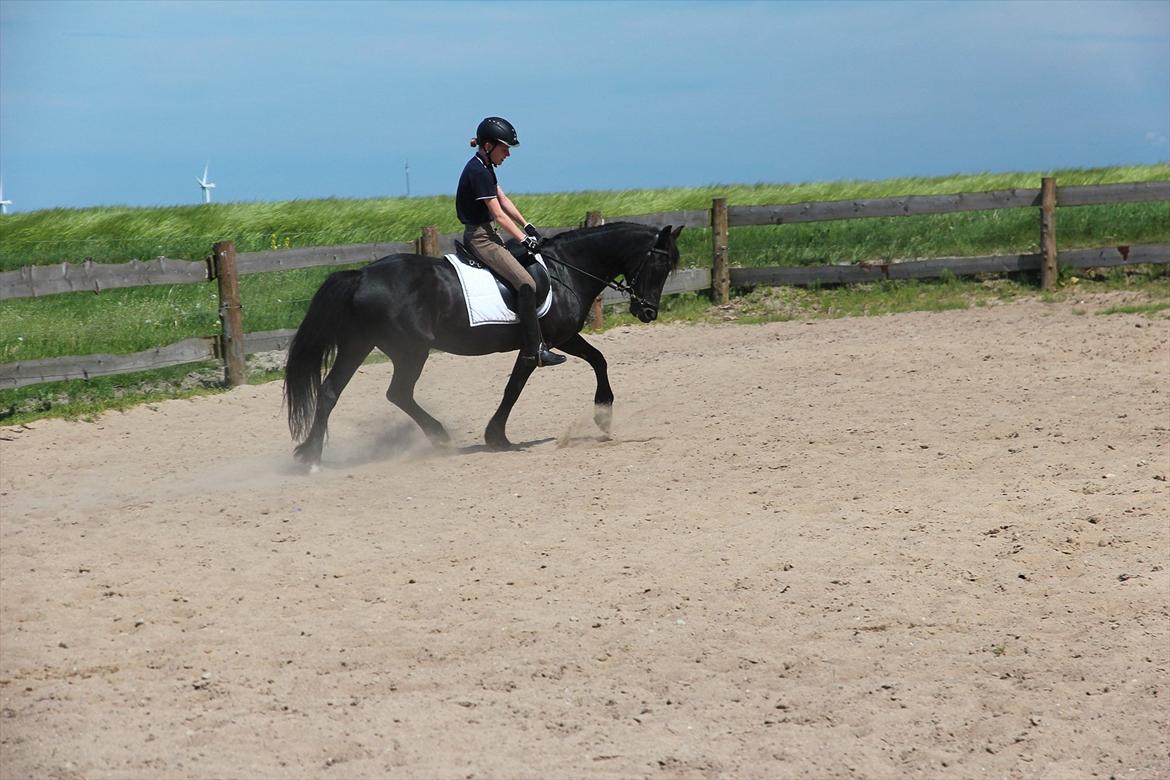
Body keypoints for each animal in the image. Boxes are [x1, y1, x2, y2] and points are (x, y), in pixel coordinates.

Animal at [283, 221, 683, 470]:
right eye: (659, 267)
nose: (648, 312)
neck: (566, 270)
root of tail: (362, 274)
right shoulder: (541, 345)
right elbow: (514, 388)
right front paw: (497, 437)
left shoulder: (566, 337)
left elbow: (599, 359)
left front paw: (603, 414)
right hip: (410, 351)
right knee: (397, 393)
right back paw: (439, 437)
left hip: (359, 345)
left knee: (331, 391)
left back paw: (312, 457)